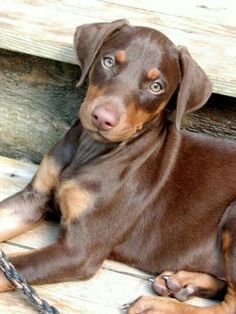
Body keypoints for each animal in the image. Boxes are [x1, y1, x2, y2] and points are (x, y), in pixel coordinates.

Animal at [0, 19, 236, 314]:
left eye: (156, 86)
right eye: (109, 61)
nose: (103, 118)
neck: (91, 150)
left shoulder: (78, 251)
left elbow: (9, 270)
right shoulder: (32, 199)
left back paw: (155, 305)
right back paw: (181, 283)